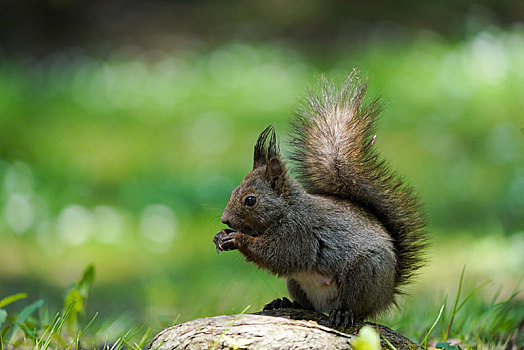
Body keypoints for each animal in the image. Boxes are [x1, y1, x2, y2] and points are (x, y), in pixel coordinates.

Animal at [215, 72, 428, 328]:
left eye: (250, 200)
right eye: (232, 193)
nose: (225, 220)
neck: (287, 210)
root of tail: (386, 296)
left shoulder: (298, 234)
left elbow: (278, 256)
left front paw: (237, 239)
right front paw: (221, 236)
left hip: (364, 274)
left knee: (358, 309)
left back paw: (344, 313)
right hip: (296, 283)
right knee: (309, 306)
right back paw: (285, 302)